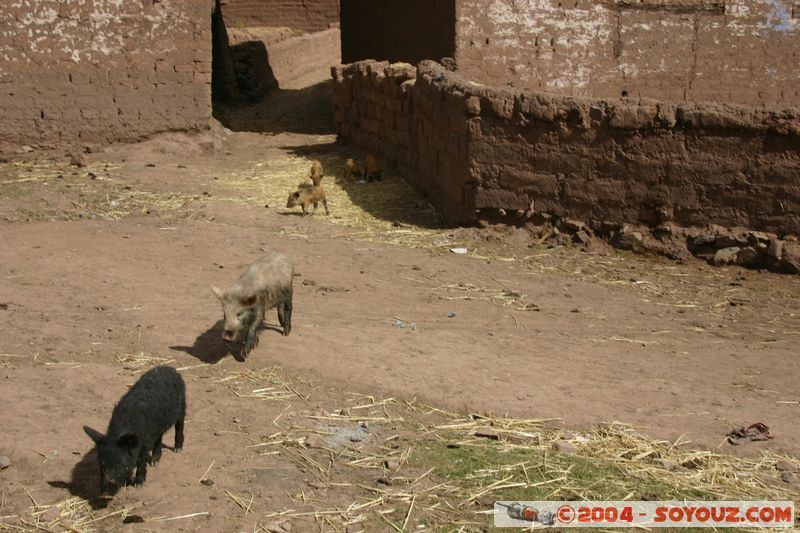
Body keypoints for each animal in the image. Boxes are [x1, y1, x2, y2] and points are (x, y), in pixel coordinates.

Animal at [83, 366, 186, 496]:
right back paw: (154, 462)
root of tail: (170, 368)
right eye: (101, 463)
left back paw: (177, 449)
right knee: (159, 437)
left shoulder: (145, 442)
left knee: (179, 427)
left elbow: (141, 461)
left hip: (182, 407)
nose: (105, 493)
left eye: (121, 464)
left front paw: (138, 484)